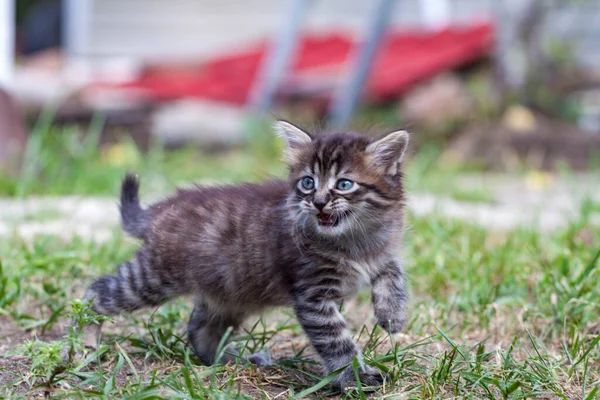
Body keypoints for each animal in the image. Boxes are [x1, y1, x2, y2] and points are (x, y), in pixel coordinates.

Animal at [78, 120, 408, 390]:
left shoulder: (383, 252)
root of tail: (159, 210)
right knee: (97, 292)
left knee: (199, 330)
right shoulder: (313, 296)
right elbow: (336, 341)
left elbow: (394, 273)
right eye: (308, 182)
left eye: (343, 184)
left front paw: (393, 315)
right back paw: (84, 342)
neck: (354, 239)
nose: (318, 202)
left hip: (231, 292)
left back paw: (231, 360)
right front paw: (354, 378)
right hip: (153, 276)